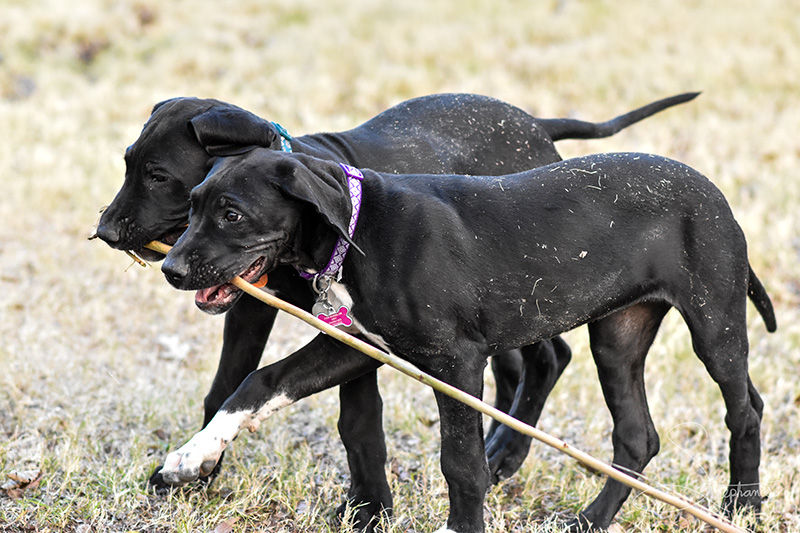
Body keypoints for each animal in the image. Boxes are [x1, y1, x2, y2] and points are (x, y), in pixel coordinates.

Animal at [94, 90, 696, 508]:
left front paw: (369, 507)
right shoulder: (265, 313)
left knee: (549, 358)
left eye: (159, 177)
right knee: (521, 366)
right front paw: (195, 464)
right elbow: (234, 384)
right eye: (125, 164)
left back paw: (506, 450)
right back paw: (499, 446)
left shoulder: (364, 337)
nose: (104, 231)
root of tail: (537, 124)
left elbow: (359, 421)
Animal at [158, 150, 776, 532]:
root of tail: (713, 192)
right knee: (636, 436)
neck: (359, 228)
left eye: (232, 214)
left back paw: (742, 504)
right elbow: (261, 381)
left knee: (743, 409)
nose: (169, 268)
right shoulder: (357, 345)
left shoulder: (456, 362)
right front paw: (193, 454)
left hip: (714, 323)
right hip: (618, 337)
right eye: (190, 204)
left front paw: (462, 524)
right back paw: (591, 520)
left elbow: (460, 461)